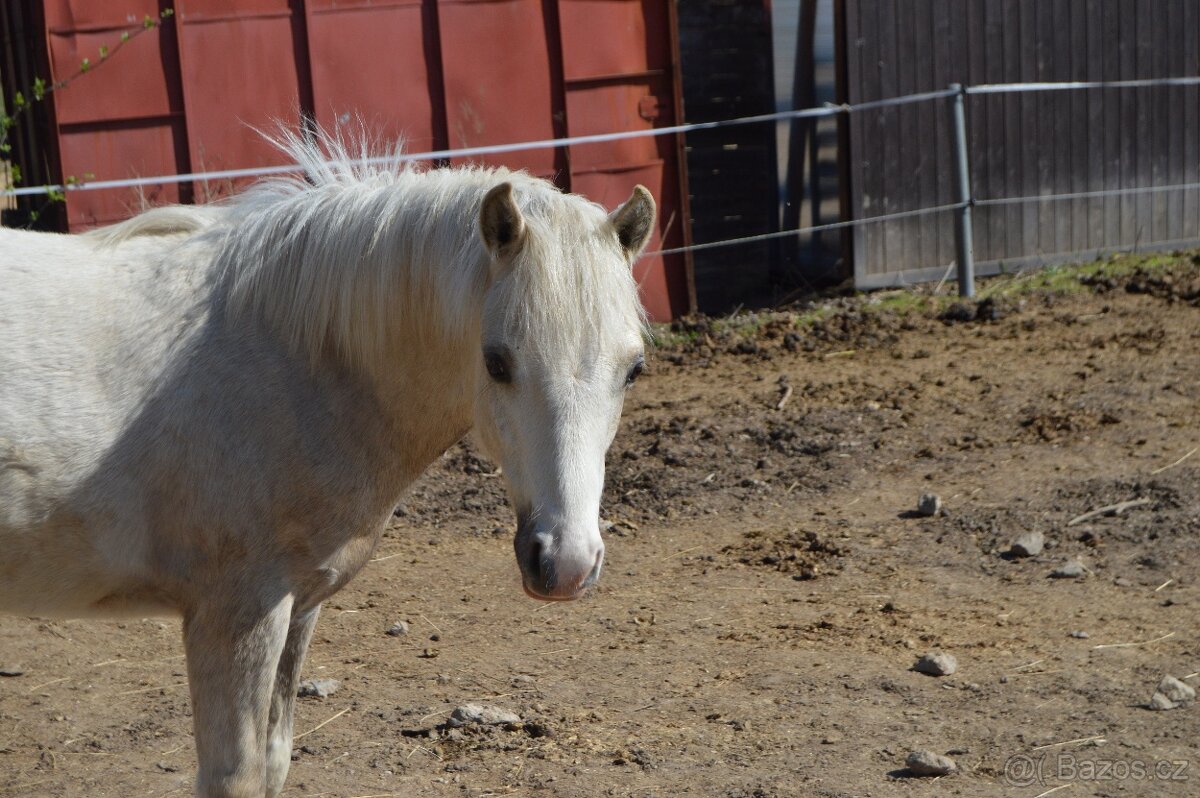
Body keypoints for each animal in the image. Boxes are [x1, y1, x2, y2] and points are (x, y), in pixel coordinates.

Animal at [0, 132, 655, 797]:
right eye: (496, 362)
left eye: (633, 369)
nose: (567, 564)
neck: (289, 361)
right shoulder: (233, 617)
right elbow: (235, 776)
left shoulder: (298, 607)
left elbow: (275, 759)